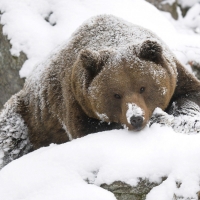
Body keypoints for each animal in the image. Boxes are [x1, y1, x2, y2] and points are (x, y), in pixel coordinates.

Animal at [0, 14, 200, 168]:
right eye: (116, 94)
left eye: (143, 87)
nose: (135, 118)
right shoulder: (74, 99)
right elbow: (89, 129)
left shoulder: (176, 75)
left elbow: (190, 96)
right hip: (29, 116)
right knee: (11, 136)